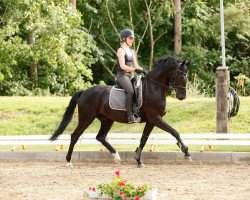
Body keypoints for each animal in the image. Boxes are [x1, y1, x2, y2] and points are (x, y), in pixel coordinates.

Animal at [50, 55, 191, 166]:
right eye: (180, 76)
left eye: (187, 76)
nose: (182, 97)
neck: (153, 88)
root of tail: (84, 91)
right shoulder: (155, 118)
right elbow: (174, 131)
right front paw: (186, 152)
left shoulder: (151, 121)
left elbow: (143, 139)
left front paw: (138, 160)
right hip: (86, 118)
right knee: (75, 136)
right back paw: (69, 161)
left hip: (107, 120)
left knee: (100, 137)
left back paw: (116, 156)